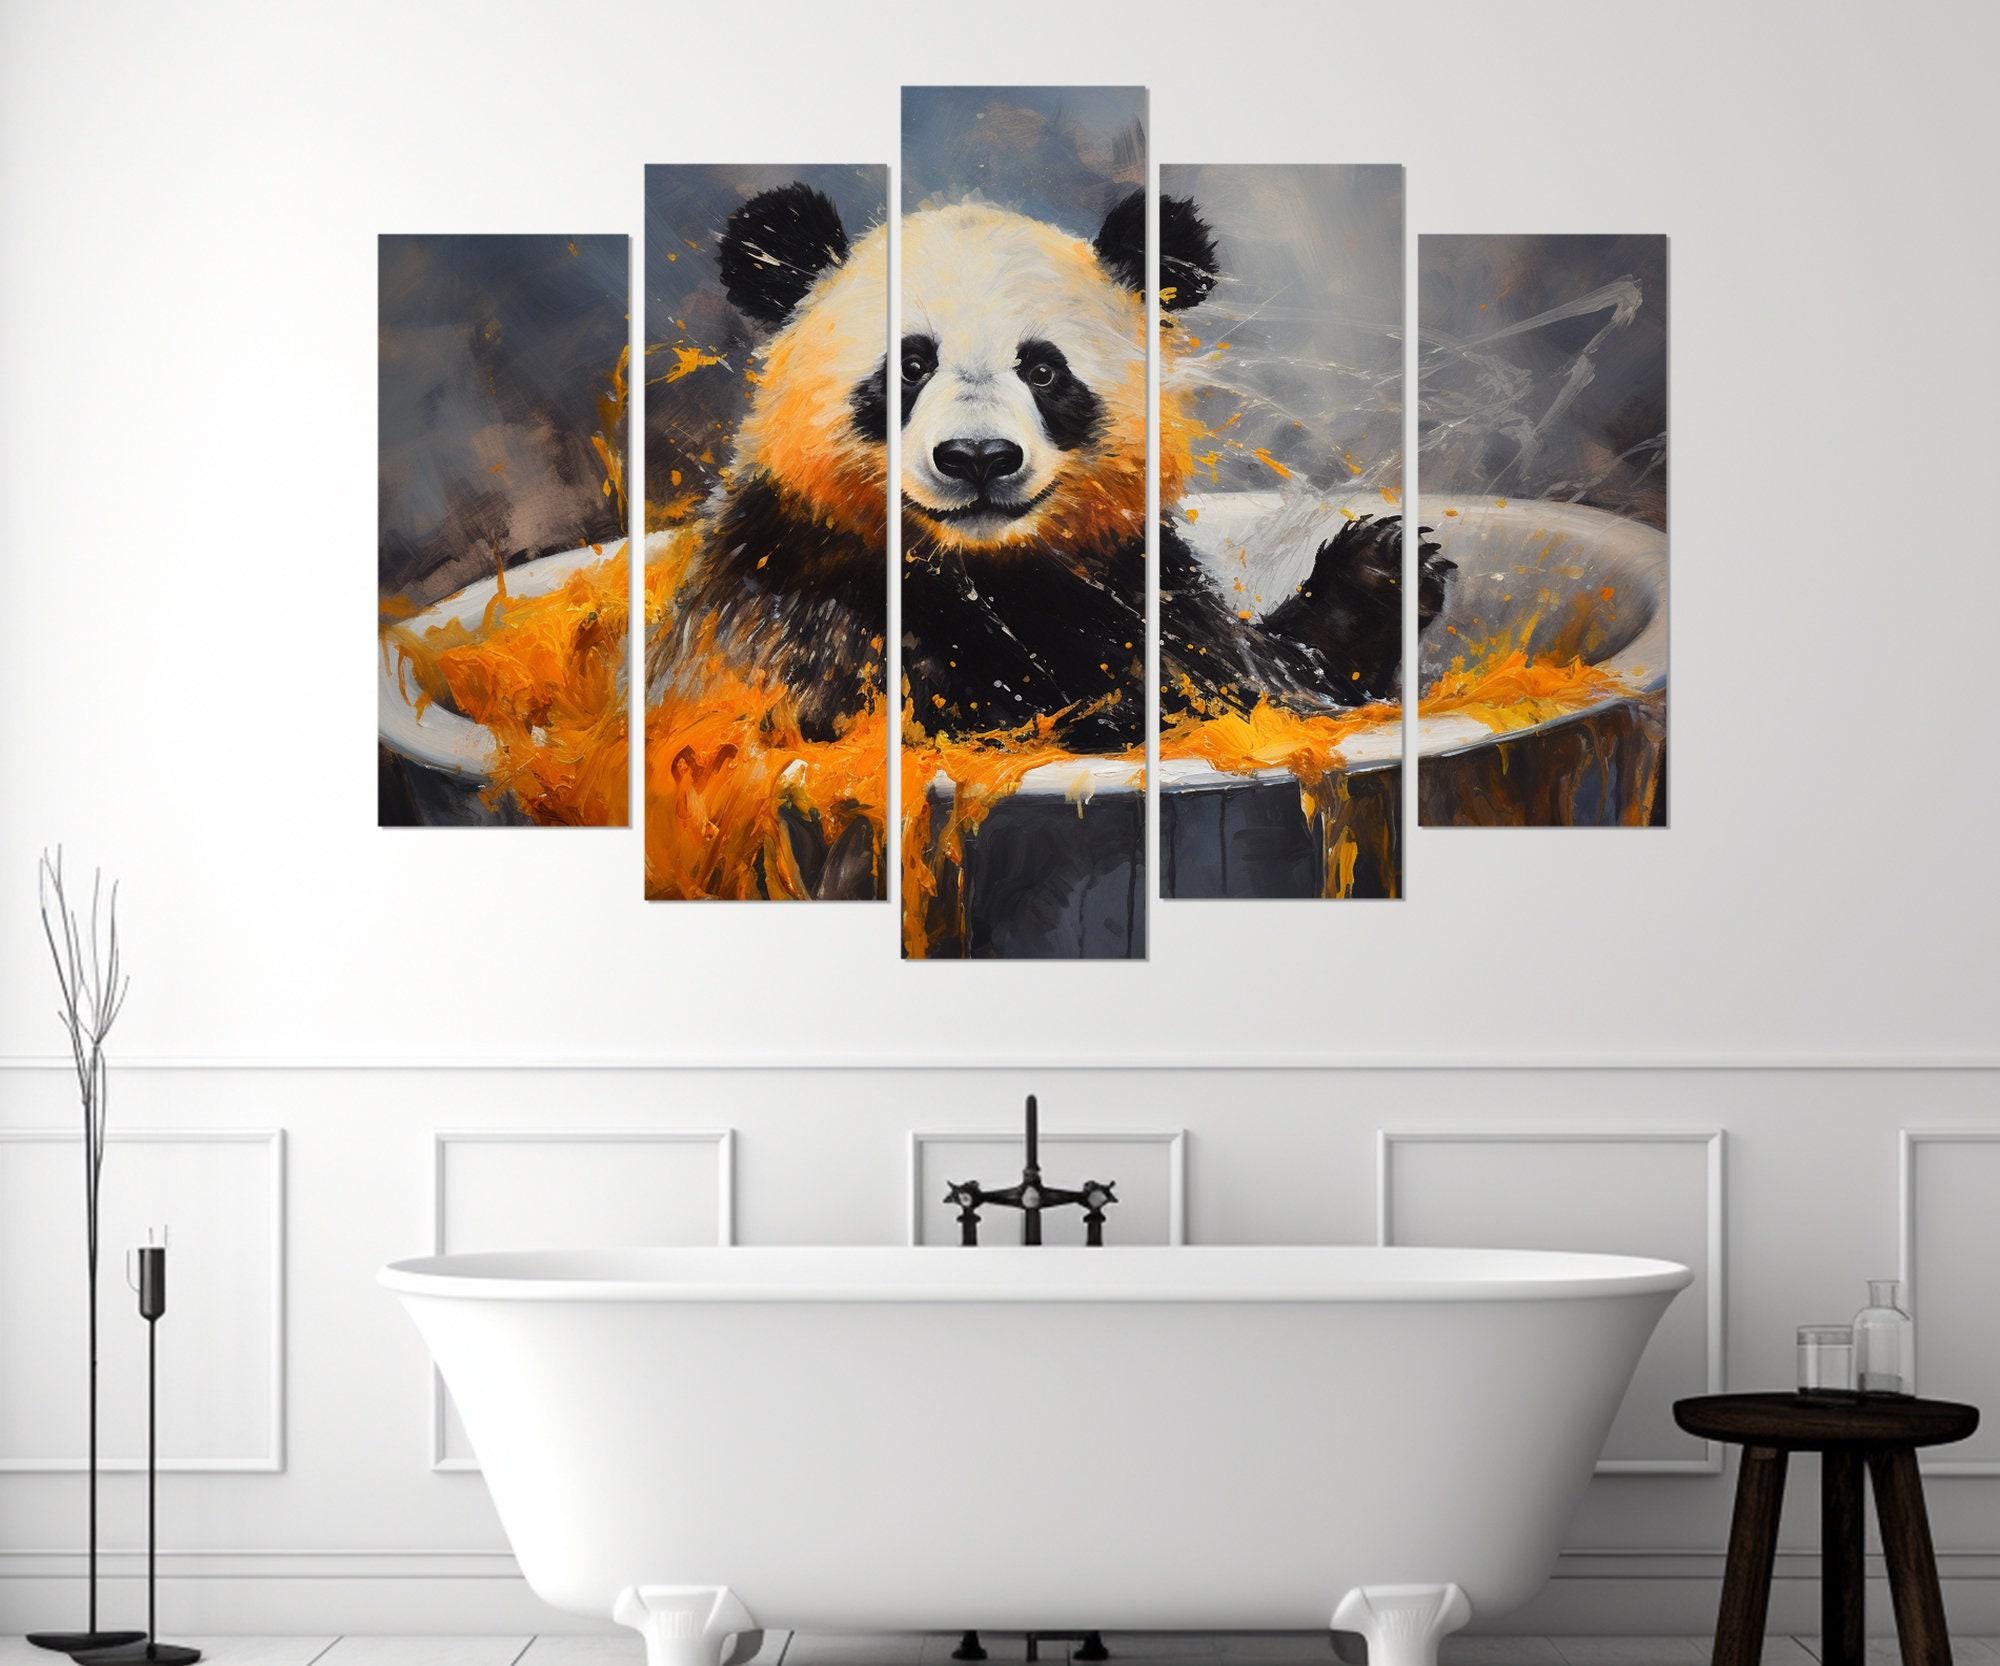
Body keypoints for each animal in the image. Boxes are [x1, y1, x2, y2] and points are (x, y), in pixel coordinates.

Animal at [648, 181, 1452, 751]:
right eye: (911, 364)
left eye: (1041, 370)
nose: (978, 459)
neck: (989, 573)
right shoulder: (794, 592)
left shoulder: (1136, 581)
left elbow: (1262, 674)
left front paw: (1387, 566)